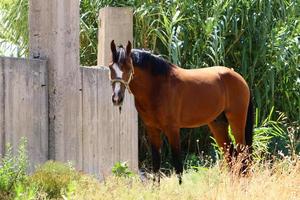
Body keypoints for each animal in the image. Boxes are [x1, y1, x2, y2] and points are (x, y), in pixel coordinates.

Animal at [108, 40, 253, 184]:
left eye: (128, 67)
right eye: (110, 67)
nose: (116, 98)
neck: (157, 87)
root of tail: (240, 78)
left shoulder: (172, 129)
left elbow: (177, 164)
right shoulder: (152, 129)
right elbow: (156, 163)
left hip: (236, 121)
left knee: (242, 153)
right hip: (218, 124)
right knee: (231, 154)